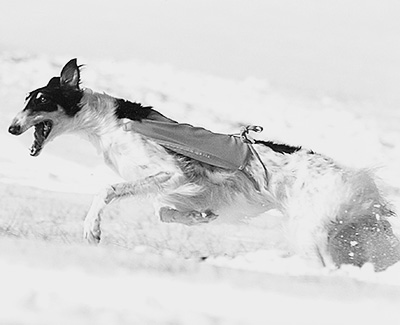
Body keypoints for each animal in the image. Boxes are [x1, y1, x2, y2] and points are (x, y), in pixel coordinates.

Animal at [8, 57, 400, 268]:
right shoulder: (188, 187)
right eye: (27, 98)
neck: (108, 123)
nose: (11, 128)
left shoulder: (172, 172)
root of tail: (351, 176)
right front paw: (199, 217)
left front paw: (92, 230)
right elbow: (164, 211)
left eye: (41, 99)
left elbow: (108, 189)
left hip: (313, 228)